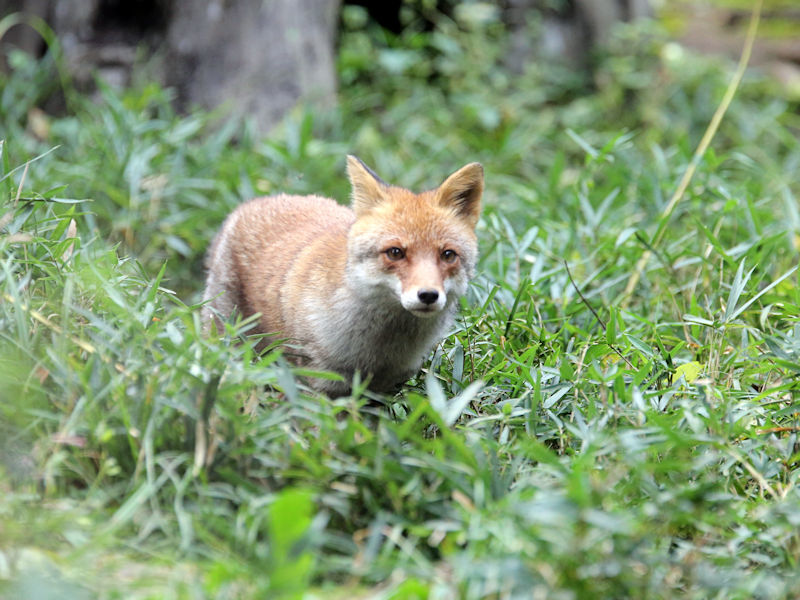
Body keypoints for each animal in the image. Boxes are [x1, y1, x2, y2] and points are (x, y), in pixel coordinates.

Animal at [203, 157, 484, 396]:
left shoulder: (384, 390)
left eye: (448, 255)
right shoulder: (319, 380)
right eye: (395, 252)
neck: (379, 352)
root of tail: (249, 204)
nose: (428, 295)